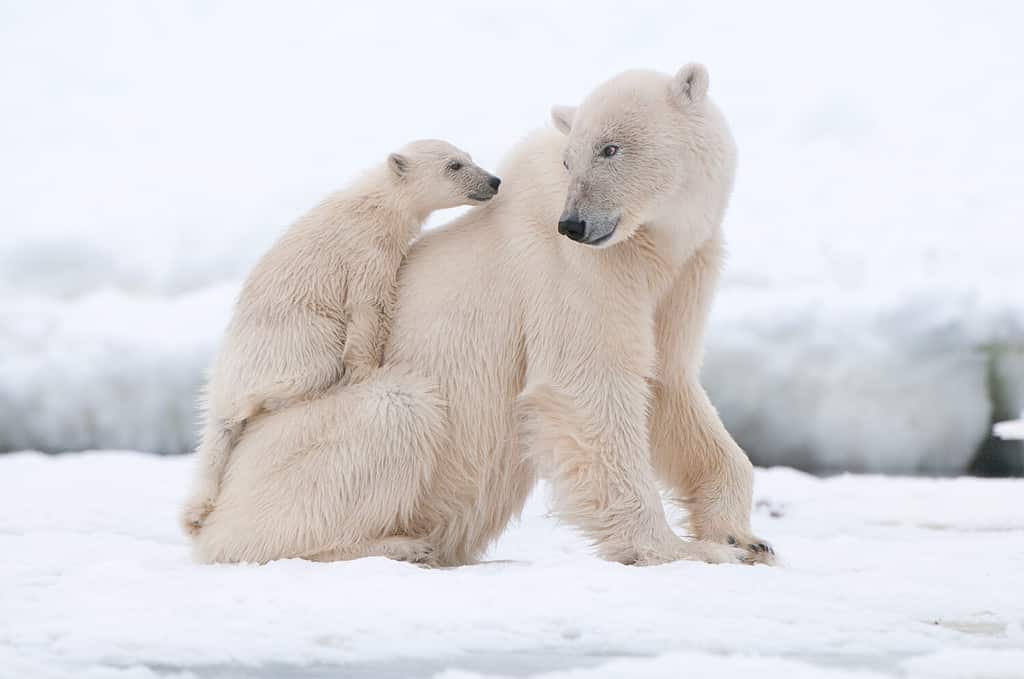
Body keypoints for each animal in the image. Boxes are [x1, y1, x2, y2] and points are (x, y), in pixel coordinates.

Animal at [192, 66, 770, 569]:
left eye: (610, 148)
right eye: (570, 160)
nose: (574, 224)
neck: (650, 244)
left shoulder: (682, 272)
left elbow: (669, 384)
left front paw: (743, 537)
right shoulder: (575, 271)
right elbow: (586, 386)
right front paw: (684, 550)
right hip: (299, 444)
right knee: (394, 411)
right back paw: (396, 544)